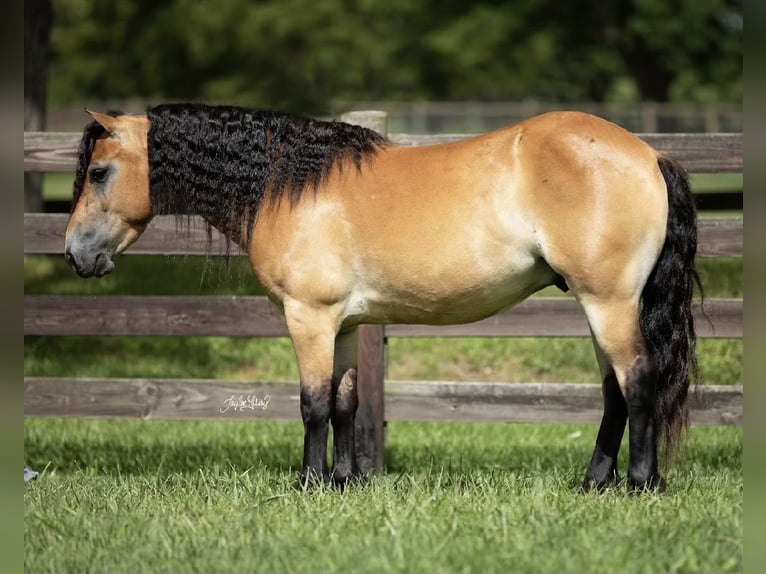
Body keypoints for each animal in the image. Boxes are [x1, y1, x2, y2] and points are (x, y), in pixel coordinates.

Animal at [65, 103, 701, 492]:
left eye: (98, 172)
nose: (74, 254)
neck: (289, 187)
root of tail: (649, 154)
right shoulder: (343, 325)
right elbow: (346, 402)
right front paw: (344, 482)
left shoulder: (309, 318)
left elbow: (313, 403)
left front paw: (308, 484)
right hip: (598, 305)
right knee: (615, 391)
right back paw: (594, 483)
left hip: (609, 302)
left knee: (638, 381)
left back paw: (638, 484)